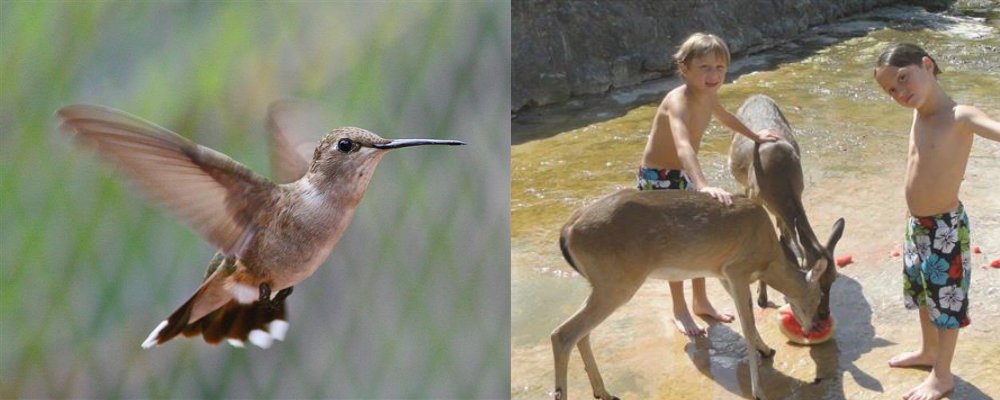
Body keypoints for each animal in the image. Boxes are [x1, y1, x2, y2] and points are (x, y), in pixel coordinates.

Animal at [551, 189, 845, 400]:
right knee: (562, 334)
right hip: (616, 283)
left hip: (602, 284)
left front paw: (766, 349)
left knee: (581, 334)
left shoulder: (723, 274)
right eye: (817, 295)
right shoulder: (737, 270)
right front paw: (758, 391)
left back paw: (603, 392)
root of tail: (568, 230)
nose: (815, 326)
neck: (768, 258)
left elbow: (748, 323)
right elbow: (747, 326)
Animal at [728, 94, 831, 317]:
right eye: (819, 285)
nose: (824, 313)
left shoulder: (796, 193)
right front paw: (761, 298)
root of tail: (756, 95)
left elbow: (786, 239)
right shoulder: (754, 194)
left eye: (833, 278)